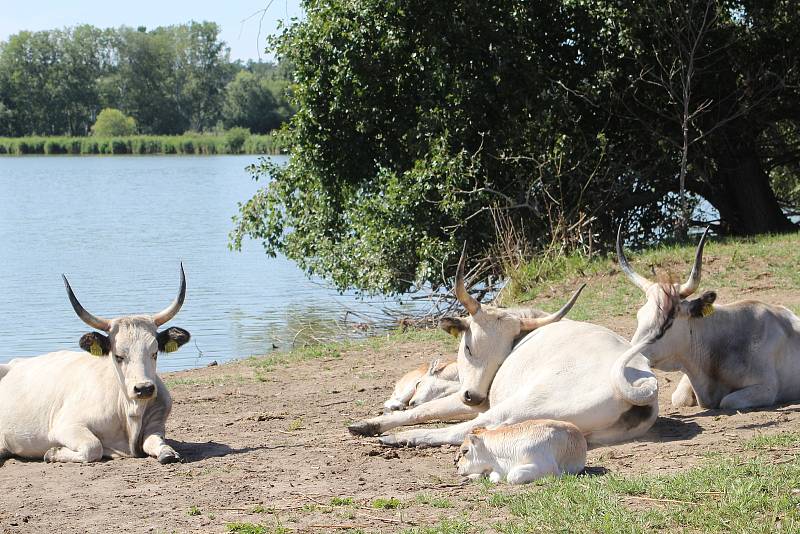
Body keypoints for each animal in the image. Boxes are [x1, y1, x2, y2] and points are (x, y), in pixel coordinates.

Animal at [0, 268, 189, 464]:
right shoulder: (66, 426)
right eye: (118, 356)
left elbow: (157, 442)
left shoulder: (156, 424)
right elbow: (93, 447)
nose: (144, 389)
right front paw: (52, 452)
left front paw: (168, 453)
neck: (130, 413)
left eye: (155, 353)